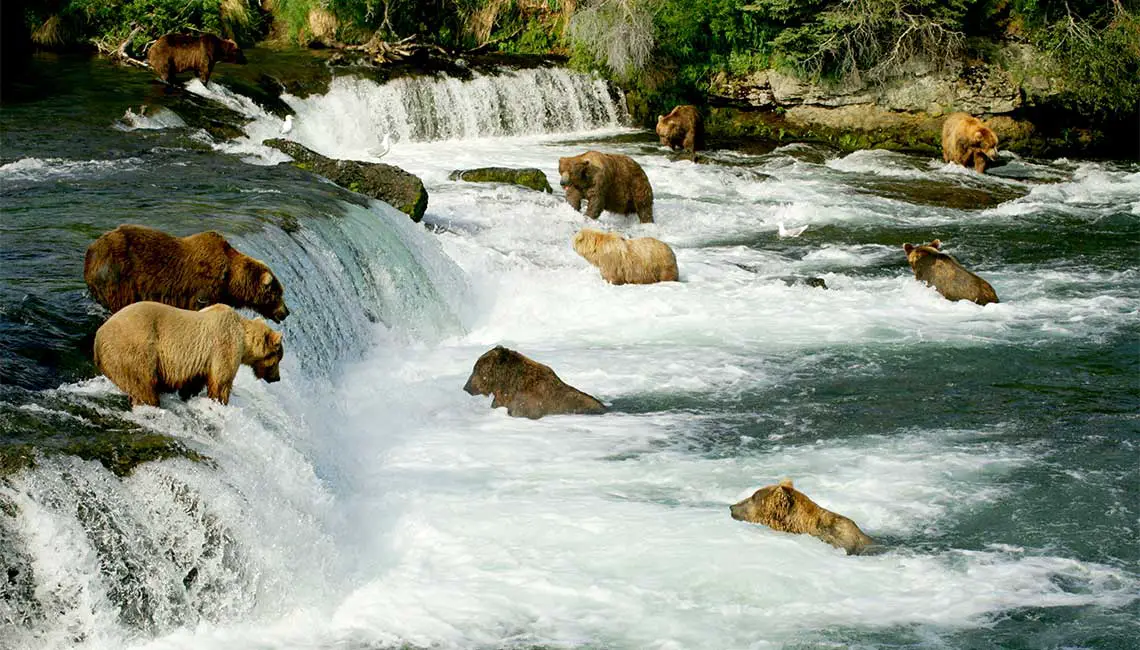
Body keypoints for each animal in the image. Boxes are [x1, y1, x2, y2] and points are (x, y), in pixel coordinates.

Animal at [83, 223, 289, 321]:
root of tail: (91, 249)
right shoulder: (202, 289)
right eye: (278, 293)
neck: (229, 280)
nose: (286, 312)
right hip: (119, 275)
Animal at [95, 298, 287, 405]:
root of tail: (98, 337)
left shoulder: (202, 361)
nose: (277, 378)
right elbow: (221, 381)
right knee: (143, 384)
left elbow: (194, 381)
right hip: (135, 349)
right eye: (279, 359)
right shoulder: (224, 345)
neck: (243, 336)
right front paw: (220, 401)